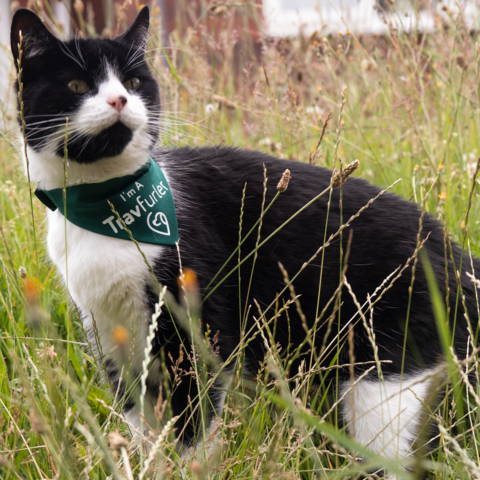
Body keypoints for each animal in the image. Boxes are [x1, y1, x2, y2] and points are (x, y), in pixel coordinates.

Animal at [9, 4, 478, 476]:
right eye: (77, 85)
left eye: (134, 82)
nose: (119, 99)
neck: (106, 206)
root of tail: (459, 259)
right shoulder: (113, 338)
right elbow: (143, 431)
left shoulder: (195, 327)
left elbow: (193, 428)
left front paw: (190, 469)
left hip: (384, 386)